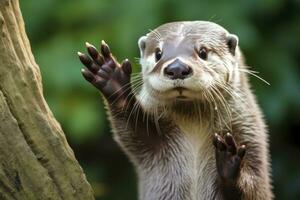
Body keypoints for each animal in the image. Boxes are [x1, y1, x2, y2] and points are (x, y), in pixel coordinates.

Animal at [77, 21, 272, 199]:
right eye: (158, 53)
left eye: (203, 52)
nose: (177, 68)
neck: (194, 128)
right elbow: (133, 132)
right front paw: (110, 76)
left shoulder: (250, 133)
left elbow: (253, 185)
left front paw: (229, 159)